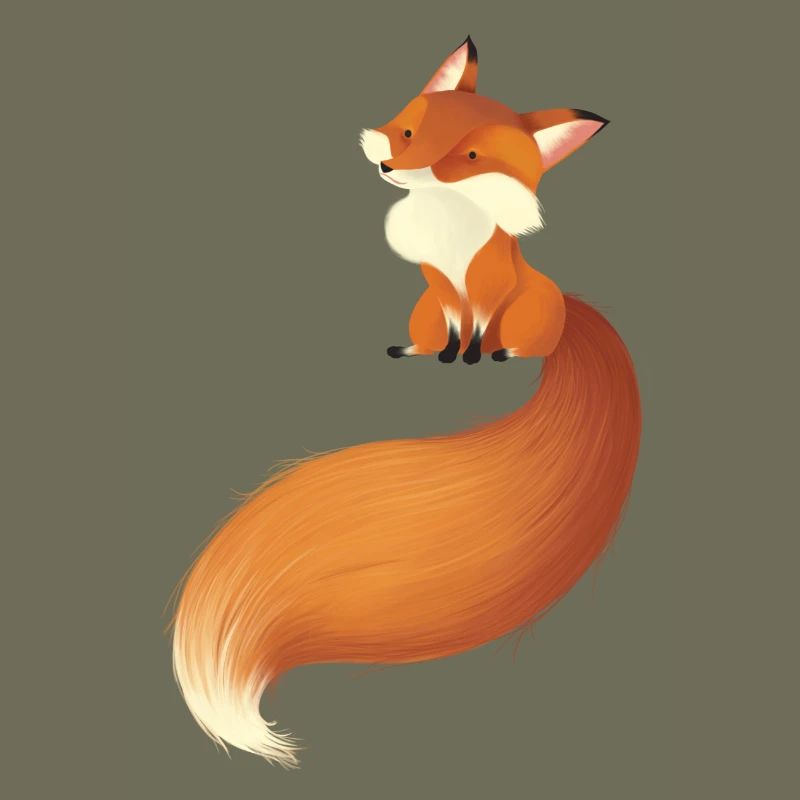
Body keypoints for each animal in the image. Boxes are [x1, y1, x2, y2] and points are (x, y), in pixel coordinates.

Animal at [172, 36, 641, 769]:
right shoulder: (439, 290)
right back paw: (416, 353)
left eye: (472, 158)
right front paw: (442, 357)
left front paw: (473, 360)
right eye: (413, 132)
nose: (392, 166)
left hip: (529, 310)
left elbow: (475, 334)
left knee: (511, 341)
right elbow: (449, 331)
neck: (449, 226)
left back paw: (498, 356)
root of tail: (568, 313)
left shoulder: (483, 292)